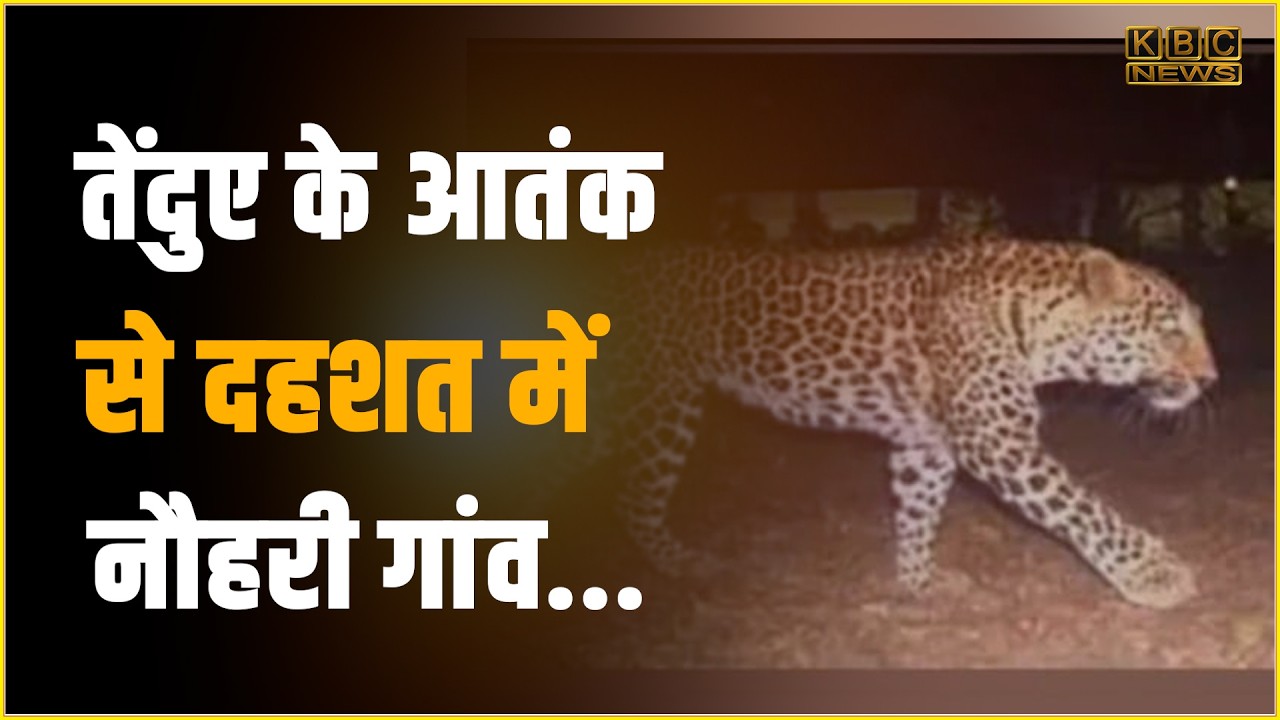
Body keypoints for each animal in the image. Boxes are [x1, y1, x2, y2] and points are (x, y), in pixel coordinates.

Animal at [603, 236, 1217, 610]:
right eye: (1170, 332)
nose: (1211, 378)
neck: (1042, 333)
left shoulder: (926, 442)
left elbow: (918, 510)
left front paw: (919, 583)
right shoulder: (997, 442)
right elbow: (1084, 507)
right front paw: (1154, 576)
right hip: (665, 400)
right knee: (634, 497)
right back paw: (682, 565)